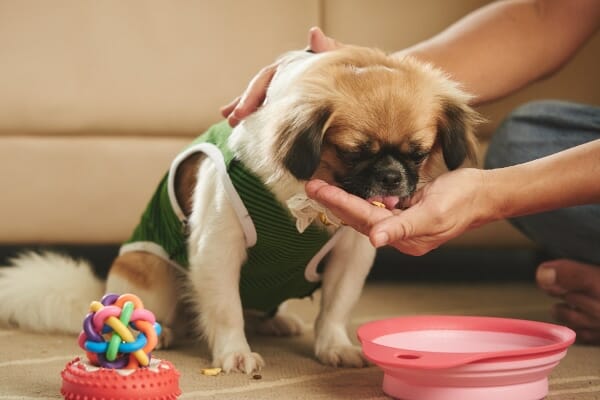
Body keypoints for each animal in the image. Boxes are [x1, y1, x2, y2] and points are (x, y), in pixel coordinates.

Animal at [0, 46, 478, 376]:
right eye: (353, 153)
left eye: (418, 154)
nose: (392, 178)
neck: (303, 206)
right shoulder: (217, 251)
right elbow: (226, 309)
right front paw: (235, 354)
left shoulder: (351, 256)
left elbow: (335, 309)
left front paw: (334, 347)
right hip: (148, 270)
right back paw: (164, 330)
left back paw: (276, 322)